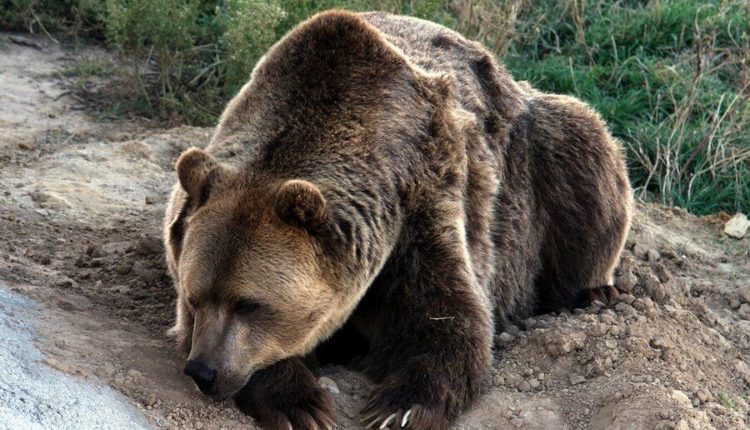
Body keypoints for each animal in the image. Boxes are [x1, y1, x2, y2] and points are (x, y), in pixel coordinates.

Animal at [163, 10, 632, 430]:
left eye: (249, 303)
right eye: (194, 297)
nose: (203, 371)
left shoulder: (422, 202)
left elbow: (448, 320)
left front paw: (397, 408)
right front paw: (300, 403)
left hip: (538, 155)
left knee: (585, 148)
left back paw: (595, 292)